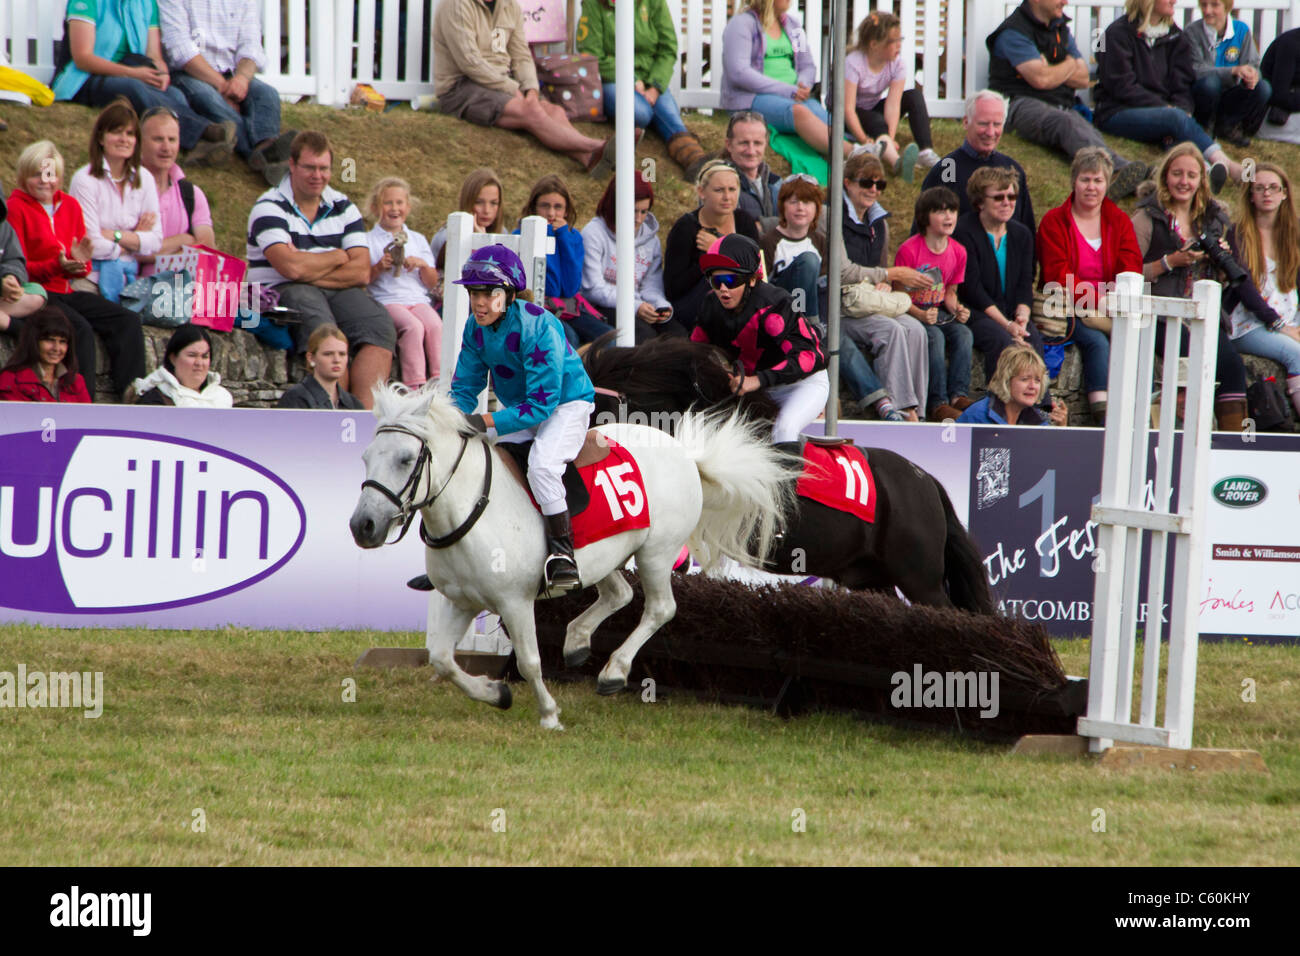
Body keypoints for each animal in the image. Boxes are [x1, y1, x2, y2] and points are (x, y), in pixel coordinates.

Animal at [351, 385, 790, 728]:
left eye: (406, 460)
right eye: (366, 457)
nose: (363, 526)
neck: (471, 507)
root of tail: (685, 453)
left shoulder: (514, 601)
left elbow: (529, 661)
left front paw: (548, 713)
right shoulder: (461, 599)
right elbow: (441, 659)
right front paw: (495, 693)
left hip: (657, 553)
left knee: (660, 608)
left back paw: (614, 671)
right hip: (603, 554)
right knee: (618, 594)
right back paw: (577, 641)